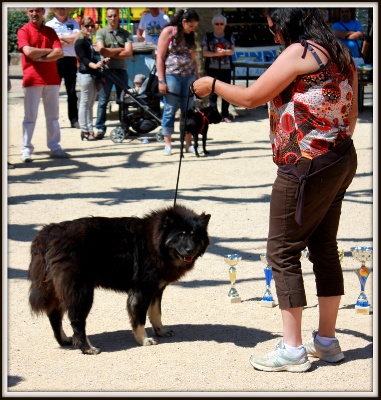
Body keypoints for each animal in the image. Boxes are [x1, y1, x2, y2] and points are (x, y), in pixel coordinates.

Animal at [26, 205, 211, 354]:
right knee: (76, 321)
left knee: (54, 316)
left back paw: (64, 340)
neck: (155, 242)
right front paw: (144, 340)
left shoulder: (156, 289)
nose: (190, 250)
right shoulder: (142, 290)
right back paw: (87, 348)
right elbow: (140, 318)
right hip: (81, 292)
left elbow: (156, 313)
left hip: (57, 290)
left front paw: (161, 331)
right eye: (181, 235)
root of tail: (48, 234)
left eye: (195, 236)